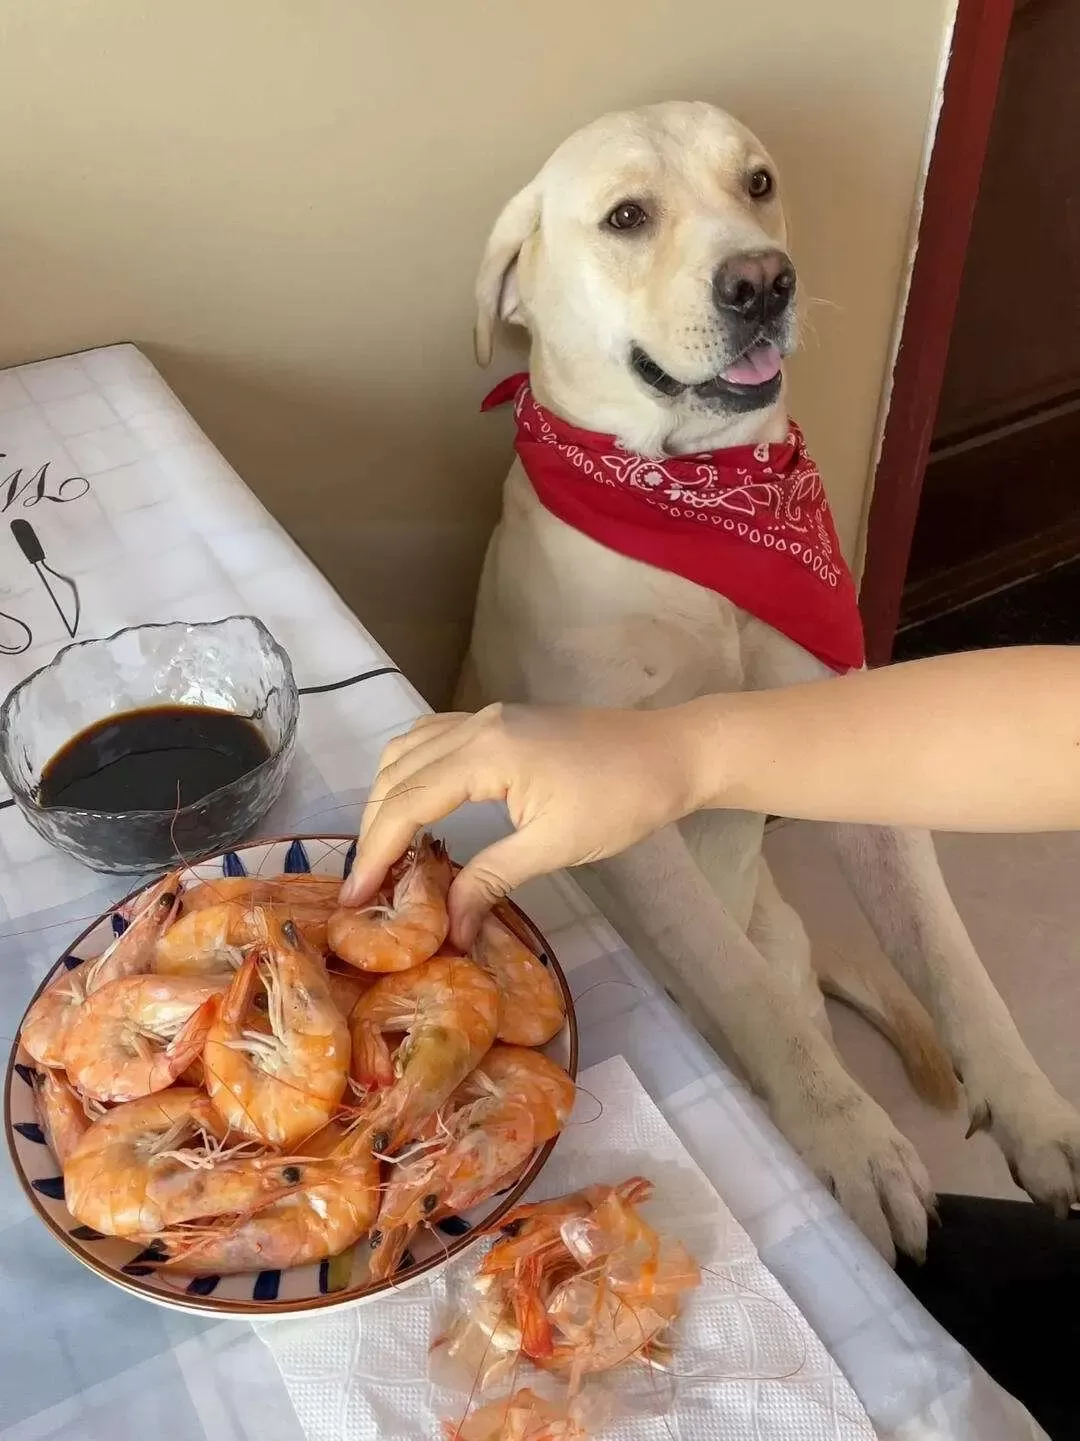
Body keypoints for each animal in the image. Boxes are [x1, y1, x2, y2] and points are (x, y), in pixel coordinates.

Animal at [458, 98, 1078, 1262]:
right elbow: (753, 1003)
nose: (762, 281)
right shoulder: (615, 812)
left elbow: (951, 957)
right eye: (626, 216)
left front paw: (1032, 1110)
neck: (698, 495)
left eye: (757, 182)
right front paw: (856, 1140)